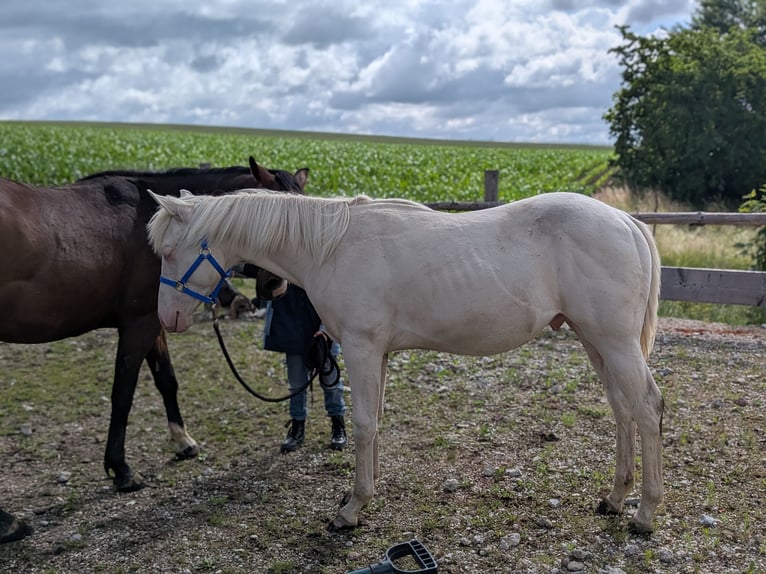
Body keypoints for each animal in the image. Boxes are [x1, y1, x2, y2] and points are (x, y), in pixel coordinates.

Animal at [0, 158, 304, 503]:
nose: (275, 285)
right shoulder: (139, 324)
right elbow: (123, 394)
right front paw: (121, 470)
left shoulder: (158, 320)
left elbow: (166, 380)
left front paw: (183, 441)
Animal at [146, 189, 664, 534]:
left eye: (169, 252)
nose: (167, 318)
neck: (332, 248)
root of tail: (627, 222)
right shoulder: (377, 354)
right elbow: (374, 421)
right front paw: (362, 491)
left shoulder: (361, 348)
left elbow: (361, 424)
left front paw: (350, 510)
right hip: (596, 342)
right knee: (622, 410)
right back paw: (615, 498)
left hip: (614, 343)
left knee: (646, 409)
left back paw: (644, 513)